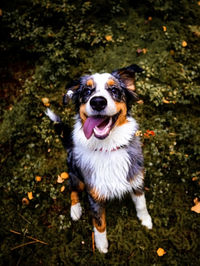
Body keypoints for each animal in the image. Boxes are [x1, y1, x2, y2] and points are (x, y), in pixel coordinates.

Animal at [46, 64, 152, 254]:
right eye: (87, 91)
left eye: (114, 90)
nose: (97, 102)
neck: (108, 148)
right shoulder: (94, 194)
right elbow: (99, 223)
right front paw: (102, 246)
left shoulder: (136, 178)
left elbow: (141, 203)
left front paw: (146, 220)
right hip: (75, 175)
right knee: (73, 190)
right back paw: (75, 210)